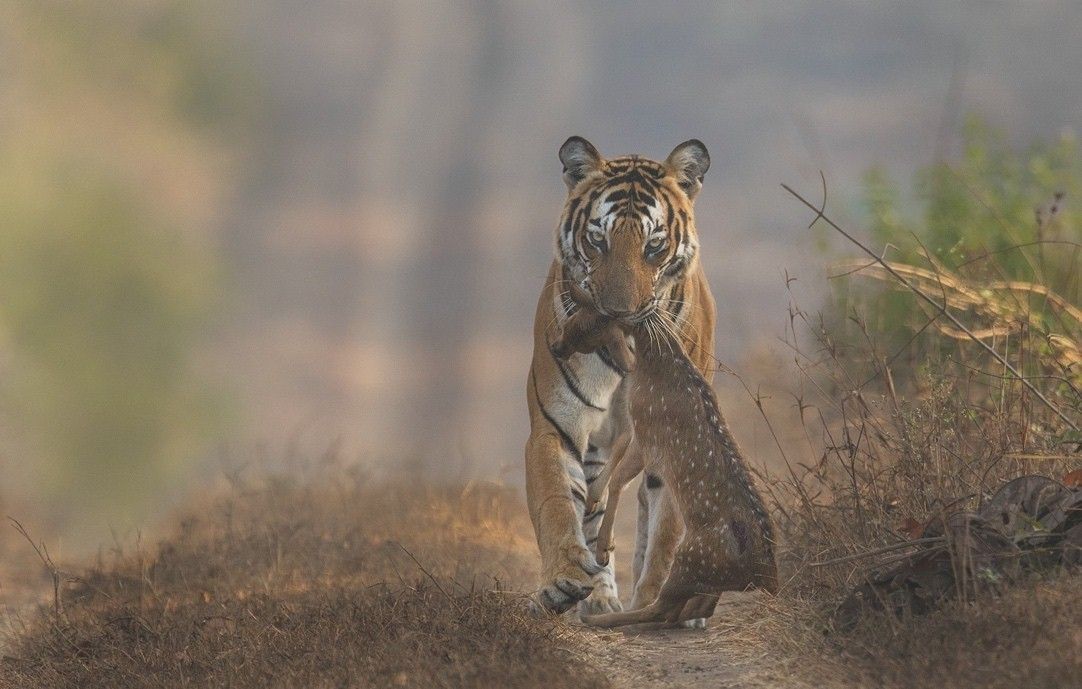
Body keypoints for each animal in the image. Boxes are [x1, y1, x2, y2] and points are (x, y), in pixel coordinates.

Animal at [525, 136, 717, 617]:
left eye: (654, 245)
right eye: (598, 240)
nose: (619, 314)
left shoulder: (678, 427)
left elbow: (666, 528)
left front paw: (656, 599)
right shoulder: (555, 426)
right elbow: (557, 503)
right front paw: (563, 581)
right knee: (595, 506)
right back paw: (599, 598)